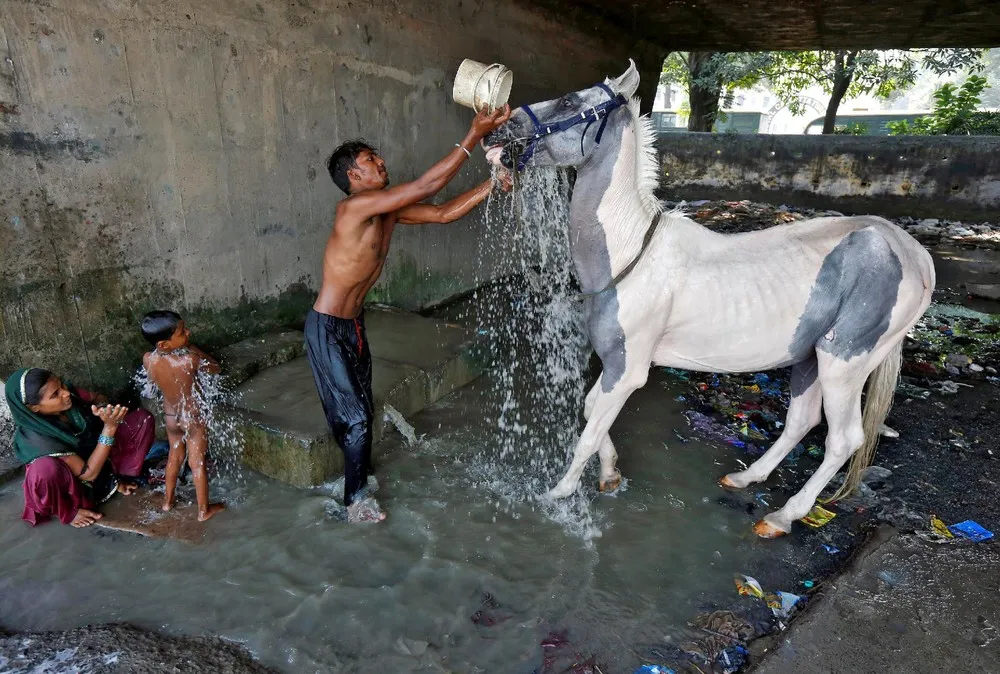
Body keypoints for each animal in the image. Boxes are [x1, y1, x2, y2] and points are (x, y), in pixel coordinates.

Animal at [484, 60, 936, 532]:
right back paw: (746, 478)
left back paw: (783, 516)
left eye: (570, 101)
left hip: (845, 362)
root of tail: (913, 254)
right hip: (811, 357)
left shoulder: (627, 371)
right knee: (801, 421)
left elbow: (588, 433)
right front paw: (609, 475)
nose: (498, 131)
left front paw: (559, 494)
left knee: (843, 439)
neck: (631, 251)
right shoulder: (613, 367)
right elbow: (592, 413)